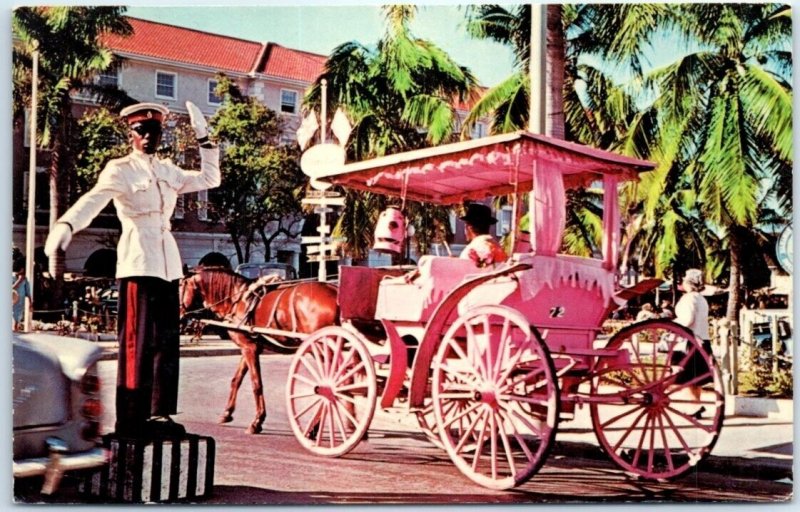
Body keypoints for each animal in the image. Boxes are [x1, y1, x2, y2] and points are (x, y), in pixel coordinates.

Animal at [180, 266, 338, 434]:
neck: (238, 298)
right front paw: (227, 413)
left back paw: (314, 427)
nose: (179, 317)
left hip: (322, 349)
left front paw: (257, 421)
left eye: (180, 287)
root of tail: (335, 291)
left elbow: (256, 383)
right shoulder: (248, 347)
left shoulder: (250, 348)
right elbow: (236, 380)